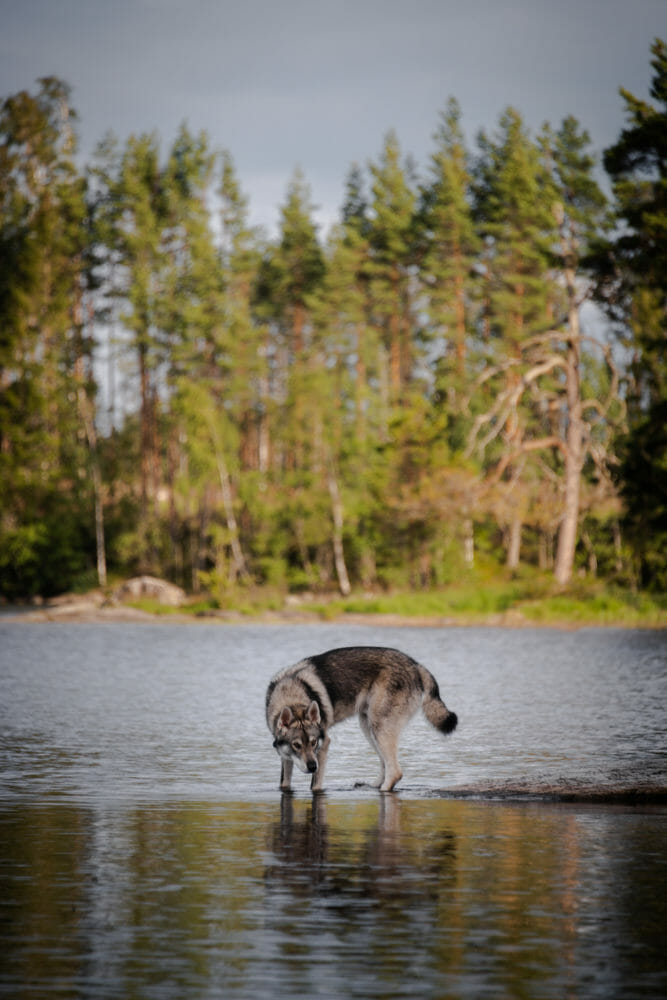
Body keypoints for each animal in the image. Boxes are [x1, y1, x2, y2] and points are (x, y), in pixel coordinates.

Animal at [266, 644, 460, 792]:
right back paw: (372, 786)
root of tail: (415, 665)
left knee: (395, 771)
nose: (313, 766)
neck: (292, 695)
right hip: (368, 728)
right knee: (385, 765)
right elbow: (284, 784)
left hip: (378, 728)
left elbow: (315, 786)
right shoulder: (285, 756)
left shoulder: (324, 744)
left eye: (314, 743)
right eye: (296, 745)